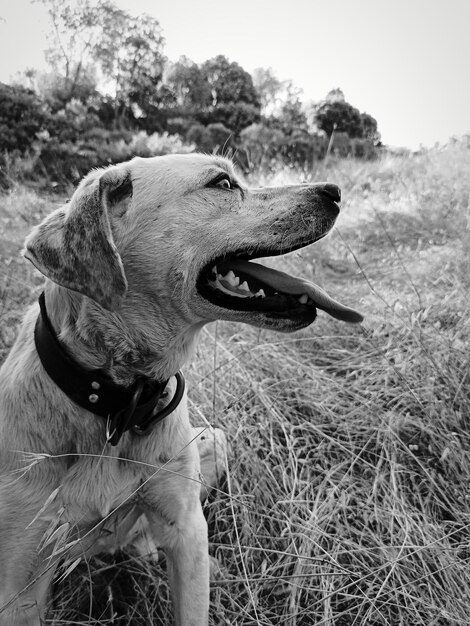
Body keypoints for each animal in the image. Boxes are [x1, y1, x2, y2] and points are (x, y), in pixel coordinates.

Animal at [0, 152, 364, 624]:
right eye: (223, 184)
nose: (334, 191)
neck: (118, 403)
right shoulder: (19, 587)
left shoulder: (186, 527)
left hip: (215, 442)